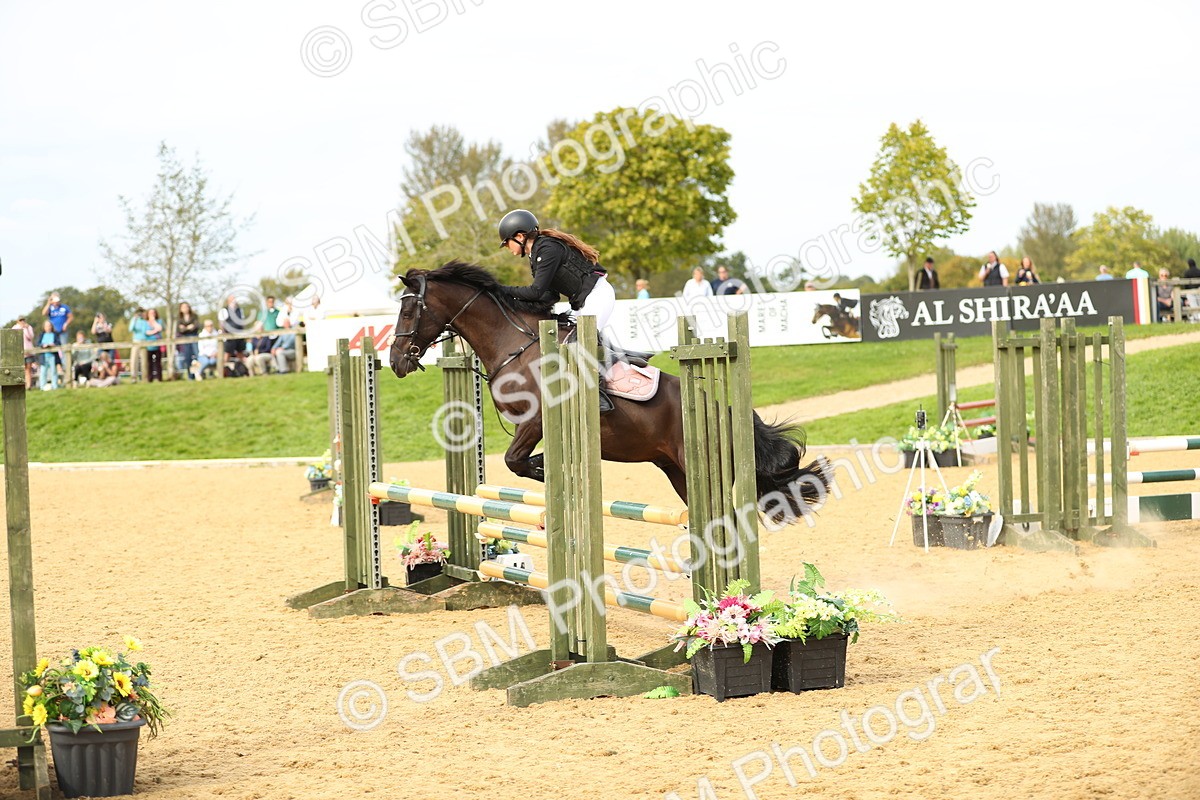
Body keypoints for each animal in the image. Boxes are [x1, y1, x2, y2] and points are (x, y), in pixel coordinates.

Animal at [389, 261, 829, 524]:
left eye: (409, 311)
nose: (395, 362)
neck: (515, 345)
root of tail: (725, 409)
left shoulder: (536, 419)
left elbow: (515, 461)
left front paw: (543, 466)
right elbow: (515, 461)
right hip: (676, 471)